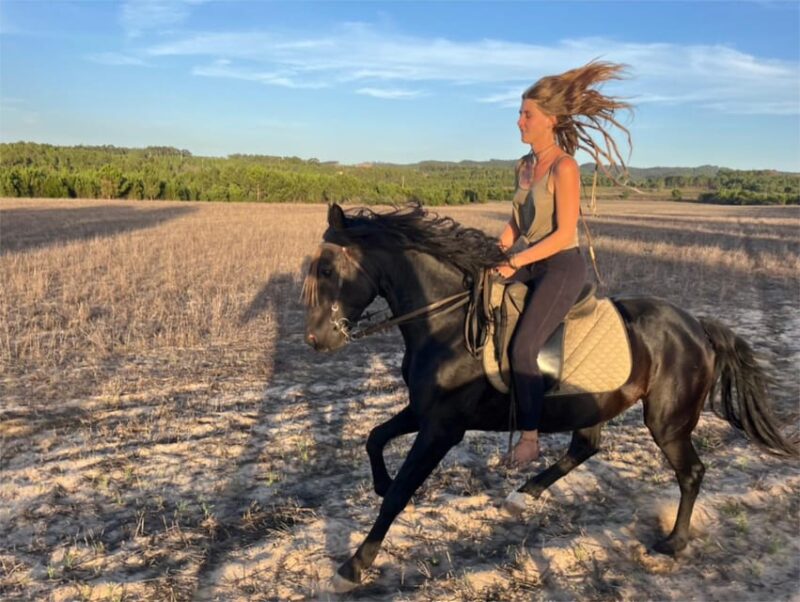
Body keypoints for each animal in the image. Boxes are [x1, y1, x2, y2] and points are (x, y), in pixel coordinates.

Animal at [301, 202, 796, 592]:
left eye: (327, 269)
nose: (316, 340)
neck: (447, 322)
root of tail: (697, 326)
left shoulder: (442, 427)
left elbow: (400, 493)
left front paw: (352, 567)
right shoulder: (424, 411)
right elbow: (374, 438)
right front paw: (379, 484)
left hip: (668, 421)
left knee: (690, 472)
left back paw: (673, 542)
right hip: (598, 403)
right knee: (587, 446)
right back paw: (526, 492)